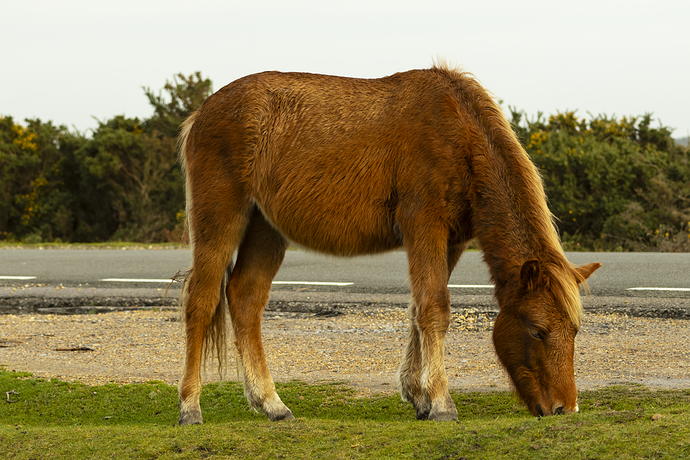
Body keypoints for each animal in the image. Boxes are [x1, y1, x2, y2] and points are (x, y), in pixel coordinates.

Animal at [175, 64, 601, 424]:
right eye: (537, 330)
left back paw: (271, 404)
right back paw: (190, 407)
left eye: (575, 331)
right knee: (202, 301)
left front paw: (418, 396)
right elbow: (435, 308)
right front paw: (441, 402)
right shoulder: (424, 227)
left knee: (245, 298)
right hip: (221, 219)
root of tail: (203, 112)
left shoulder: (451, 242)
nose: (565, 408)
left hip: (266, 228)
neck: (459, 134)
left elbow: (419, 309)